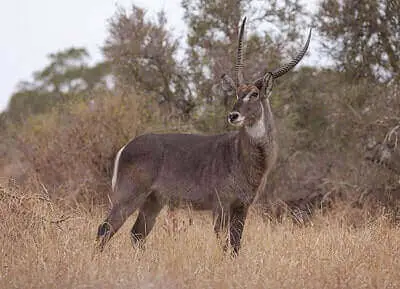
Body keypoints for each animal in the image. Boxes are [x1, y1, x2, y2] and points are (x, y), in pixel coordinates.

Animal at [97, 16, 312, 253]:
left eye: (255, 94)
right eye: (237, 93)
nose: (233, 115)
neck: (243, 156)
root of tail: (125, 147)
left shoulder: (242, 206)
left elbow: (236, 245)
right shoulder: (221, 205)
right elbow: (225, 244)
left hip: (154, 200)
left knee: (137, 233)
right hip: (130, 195)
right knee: (105, 228)